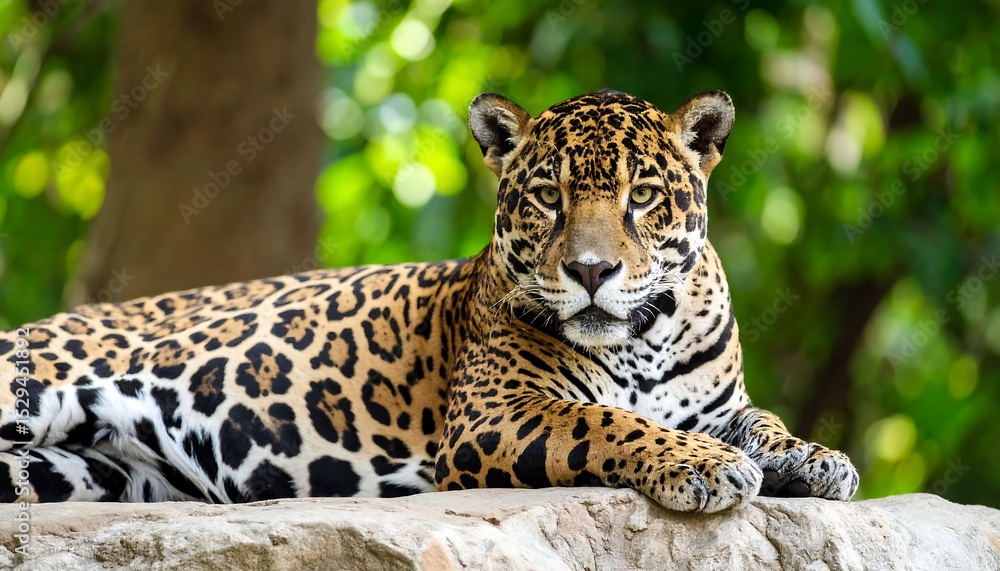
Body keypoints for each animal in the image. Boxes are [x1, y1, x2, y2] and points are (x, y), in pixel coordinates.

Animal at [0, 89, 859, 512]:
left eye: (642, 196)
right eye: (547, 196)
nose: (590, 271)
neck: (640, 339)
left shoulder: (720, 402)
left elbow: (763, 420)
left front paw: (814, 458)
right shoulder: (493, 414)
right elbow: (609, 421)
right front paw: (704, 466)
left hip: (83, 470)